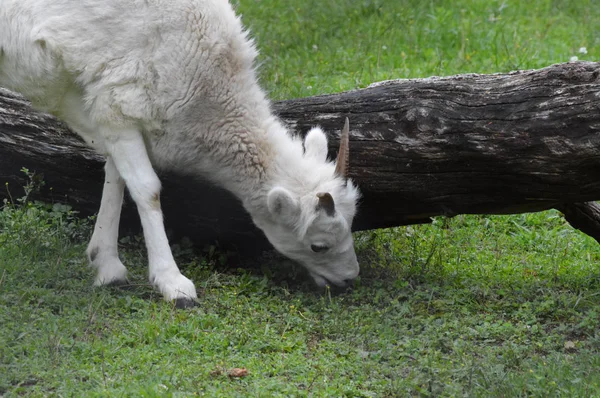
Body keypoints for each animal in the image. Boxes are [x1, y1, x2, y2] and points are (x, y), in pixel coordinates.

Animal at [0, 0, 358, 308]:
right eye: (319, 245)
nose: (350, 280)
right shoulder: (118, 106)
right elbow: (147, 189)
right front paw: (174, 286)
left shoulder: (108, 113)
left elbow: (115, 177)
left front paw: (107, 267)